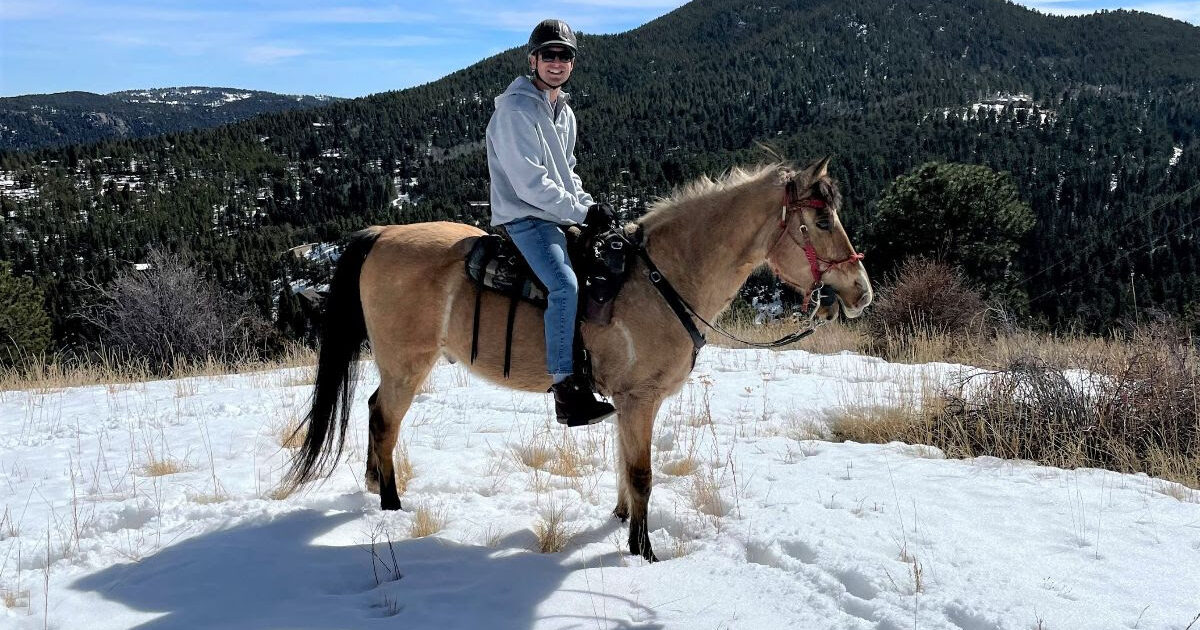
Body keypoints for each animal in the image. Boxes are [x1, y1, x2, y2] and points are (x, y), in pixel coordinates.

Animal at [286, 157, 878, 559]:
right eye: (821, 222)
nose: (860, 292)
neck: (663, 279)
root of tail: (383, 232)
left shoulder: (625, 402)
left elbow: (623, 467)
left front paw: (619, 522)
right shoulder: (639, 399)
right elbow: (641, 474)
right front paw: (644, 551)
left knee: (372, 410)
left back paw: (373, 488)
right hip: (407, 363)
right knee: (386, 420)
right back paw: (390, 505)